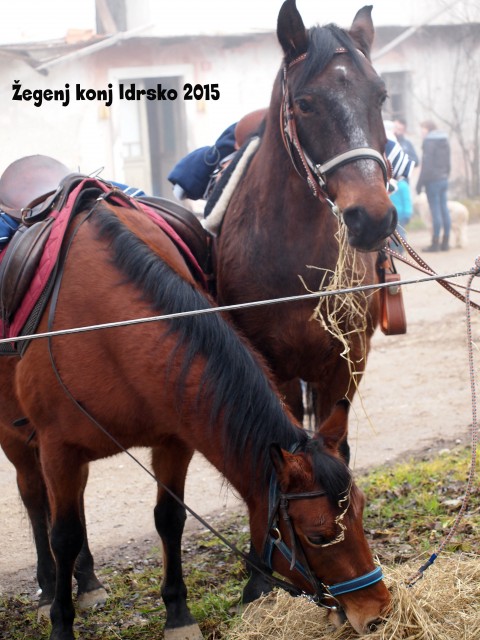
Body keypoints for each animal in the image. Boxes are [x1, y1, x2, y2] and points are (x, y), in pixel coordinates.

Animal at [7, 196, 388, 640]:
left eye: (362, 511)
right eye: (320, 536)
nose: (377, 611)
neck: (104, 330)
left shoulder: (173, 441)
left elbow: (169, 519)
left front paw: (177, 614)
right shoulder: (58, 448)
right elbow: (63, 535)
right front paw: (61, 623)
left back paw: (87, 583)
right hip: (20, 444)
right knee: (36, 502)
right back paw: (50, 589)